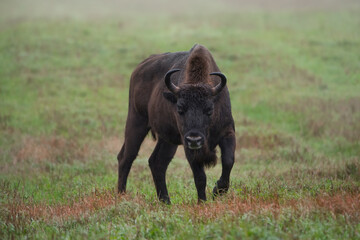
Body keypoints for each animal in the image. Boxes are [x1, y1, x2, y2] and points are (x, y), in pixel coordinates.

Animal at [118, 44, 235, 203]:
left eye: (209, 109)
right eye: (180, 108)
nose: (194, 139)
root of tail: (139, 68)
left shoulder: (228, 132)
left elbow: (228, 161)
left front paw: (217, 191)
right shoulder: (188, 146)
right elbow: (200, 177)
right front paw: (202, 202)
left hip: (167, 140)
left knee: (157, 162)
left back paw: (165, 201)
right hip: (136, 122)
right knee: (126, 157)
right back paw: (121, 195)